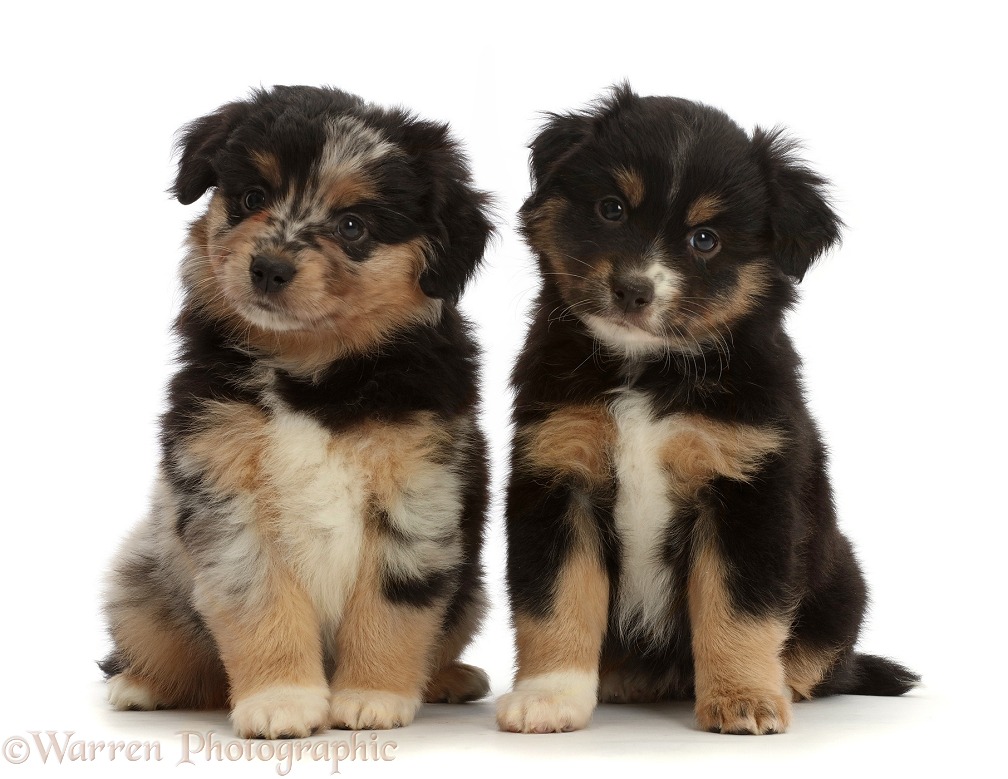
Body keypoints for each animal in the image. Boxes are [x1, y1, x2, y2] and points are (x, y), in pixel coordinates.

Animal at [100, 85, 493, 733]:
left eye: (353, 226)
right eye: (252, 198)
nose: (268, 268)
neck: (312, 377)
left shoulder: (417, 492)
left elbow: (391, 608)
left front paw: (372, 697)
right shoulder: (226, 494)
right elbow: (262, 608)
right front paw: (280, 701)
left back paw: (450, 678)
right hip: (142, 578)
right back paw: (141, 685)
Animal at [497, 86, 923, 733]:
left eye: (705, 240)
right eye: (611, 209)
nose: (633, 290)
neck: (649, 373)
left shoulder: (747, 489)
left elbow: (738, 611)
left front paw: (744, 699)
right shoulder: (557, 477)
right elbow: (555, 602)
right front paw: (549, 697)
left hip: (842, 580)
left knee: (822, 662)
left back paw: (780, 684)